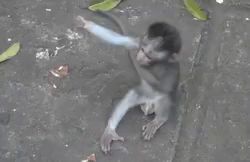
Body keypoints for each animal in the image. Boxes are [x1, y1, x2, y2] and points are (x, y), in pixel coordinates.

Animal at [75, 14, 181, 154]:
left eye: (148, 56)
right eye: (142, 49)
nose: (139, 56)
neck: (157, 63)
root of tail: (148, 107)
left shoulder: (172, 69)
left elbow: (162, 87)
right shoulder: (139, 42)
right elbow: (121, 40)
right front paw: (87, 24)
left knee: (163, 97)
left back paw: (158, 120)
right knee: (132, 97)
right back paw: (110, 130)